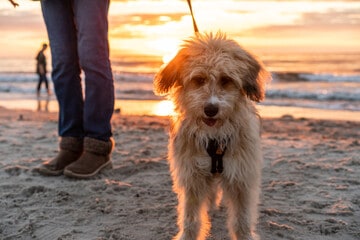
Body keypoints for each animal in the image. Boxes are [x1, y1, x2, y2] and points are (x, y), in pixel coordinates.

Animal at [154, 32, 270, 240]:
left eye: (226, 79)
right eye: (199, 79)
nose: (210, 109)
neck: (214, 136)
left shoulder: (241, 176)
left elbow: (241, 218)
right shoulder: (192, 176)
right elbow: (190, 217)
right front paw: (187, 236)